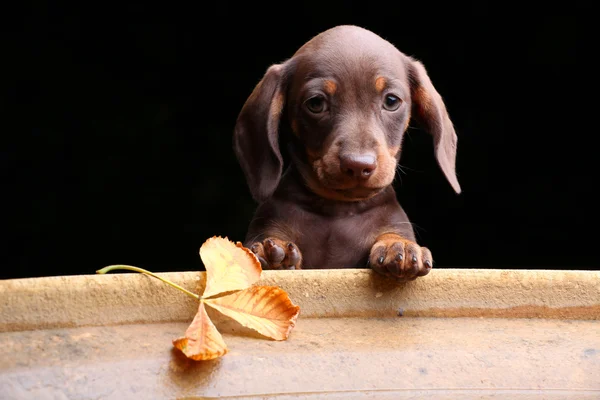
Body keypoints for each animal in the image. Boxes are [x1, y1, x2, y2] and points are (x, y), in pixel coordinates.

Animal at [232, 25, 462, 282]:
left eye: (392, 100)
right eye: (315, 103)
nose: (359, 165)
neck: (338, 210)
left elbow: (391, 233)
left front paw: (398, 245)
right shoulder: (269, 224)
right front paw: (272, 251)